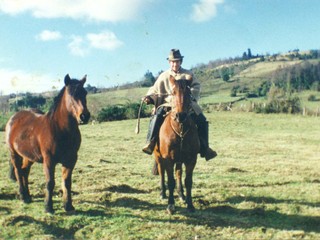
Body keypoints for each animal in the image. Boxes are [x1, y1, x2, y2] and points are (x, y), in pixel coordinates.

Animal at [5, 74, 90, 214]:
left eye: (85, 93)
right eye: (70, 94)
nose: (84, 116)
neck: (60, 129)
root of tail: (13, 119)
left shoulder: (71, 160)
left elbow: (67, 182)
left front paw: (68, 206)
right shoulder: (49, 160)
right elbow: (50, 182)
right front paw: (48, 207)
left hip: (29, 156)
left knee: (24, 171)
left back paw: (28, 196)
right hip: (14, 154)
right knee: (18, 171)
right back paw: (23, 196)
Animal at [153, 75, 200, 214]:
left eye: (189, 93)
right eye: (173, 92)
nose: (181, 115)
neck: (180, 131)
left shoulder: (191, 160)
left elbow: (188, 181)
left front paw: (190, 205)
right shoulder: (168, 159)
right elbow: (170, 181)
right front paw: (170, 205)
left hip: (179, 160)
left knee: (178, 173)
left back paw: (181, 195)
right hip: (158, 157)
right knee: (161, 172)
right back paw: (163, 193)